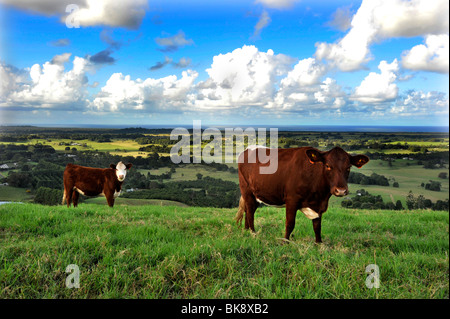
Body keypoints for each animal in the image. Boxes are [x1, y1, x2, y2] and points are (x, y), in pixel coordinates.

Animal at [236, 146, 370, 244]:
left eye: (348, 167)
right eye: (328, 166)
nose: (341, 190)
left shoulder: (318, 205)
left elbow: (317, 226)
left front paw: (319, 244)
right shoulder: (291, 200)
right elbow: (290, 223)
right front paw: (285, 242)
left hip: (256, 195)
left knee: (248, 210)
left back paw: (247, 230)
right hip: (246, 190)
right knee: (250, 212)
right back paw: (253, 233)